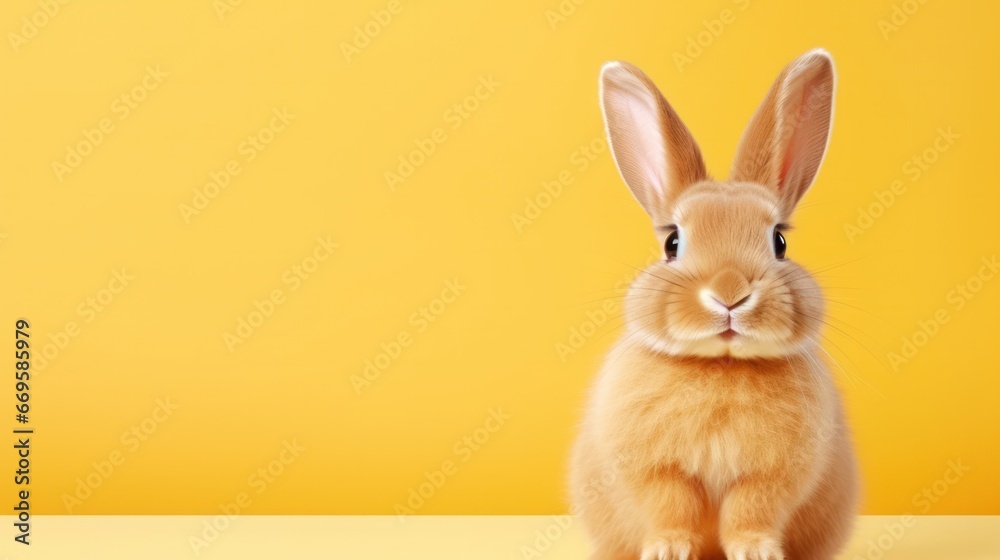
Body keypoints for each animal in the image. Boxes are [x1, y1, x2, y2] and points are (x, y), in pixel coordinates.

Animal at [568, 49, 860, 560]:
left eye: (779, 242)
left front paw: (758, 552)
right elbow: (672, 509)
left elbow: (750, 513)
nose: (729, 293)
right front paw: (666, 550)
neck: (721, 365)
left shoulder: (770, 478)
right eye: (672, 243)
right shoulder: (658, 472)